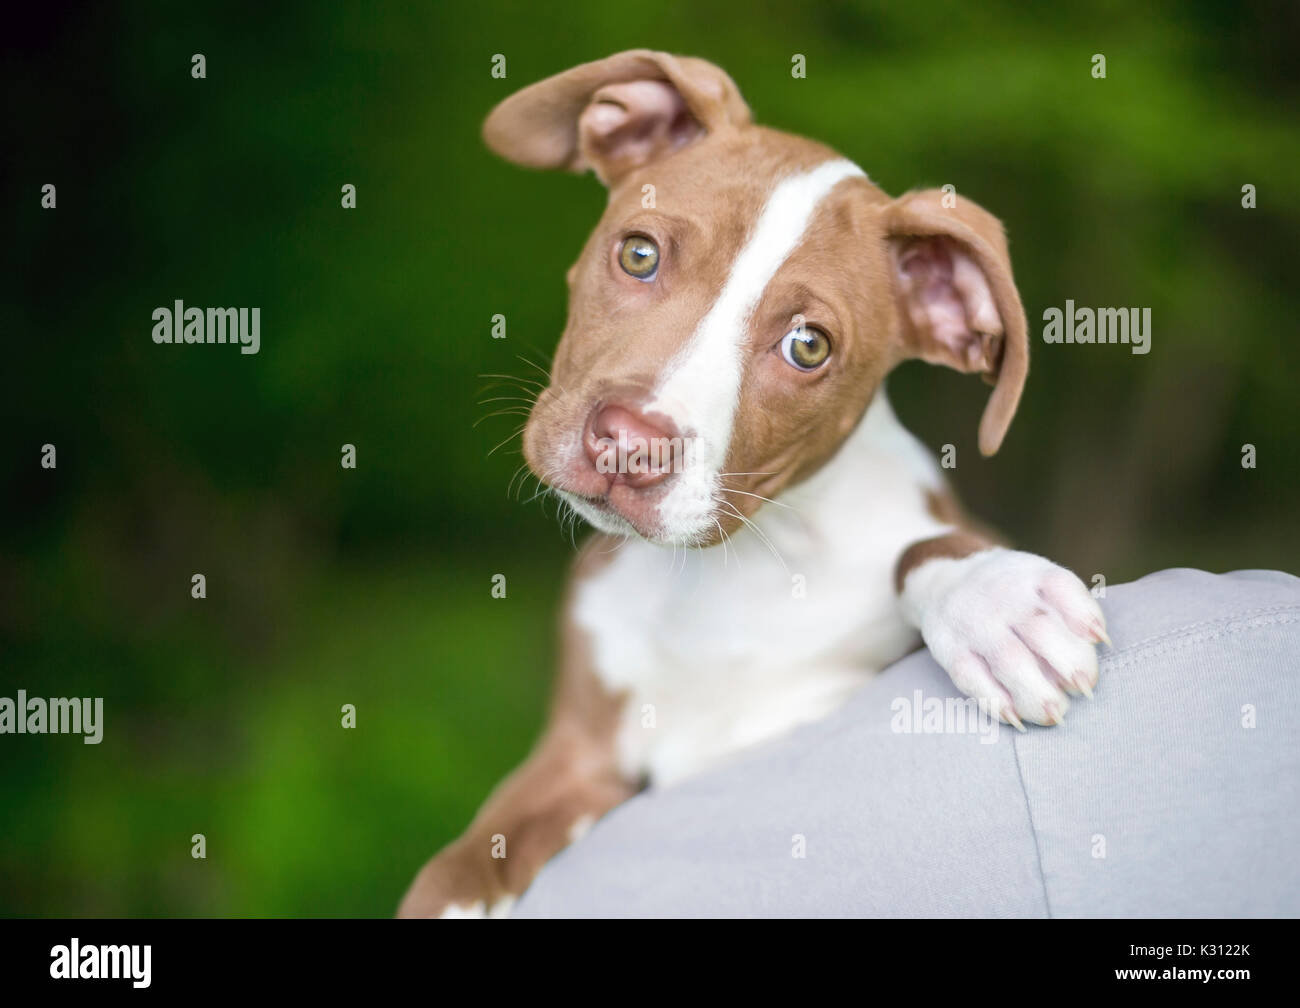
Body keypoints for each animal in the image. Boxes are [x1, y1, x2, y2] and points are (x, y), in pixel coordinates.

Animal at [395, 51, 1107, 920]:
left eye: (808, 346)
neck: (737, 571)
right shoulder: (576, 760)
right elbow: (461, 864)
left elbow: (923, 547)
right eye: (638, 254)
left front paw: (997, 603)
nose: (629, 445)